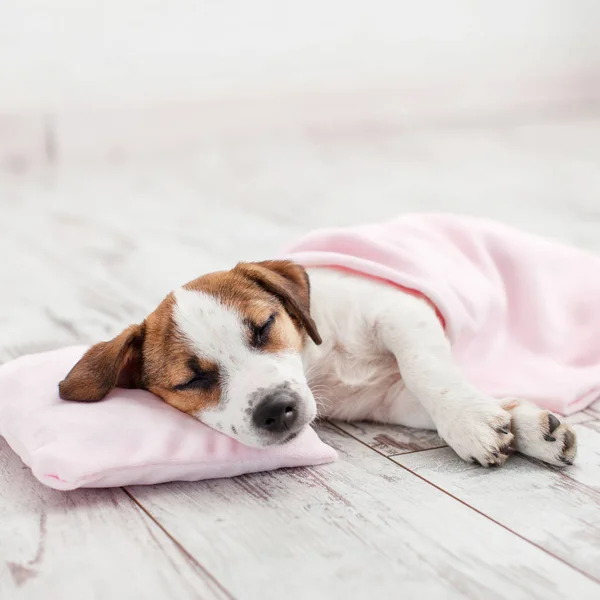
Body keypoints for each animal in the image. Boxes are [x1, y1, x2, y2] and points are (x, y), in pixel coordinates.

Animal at [57, 216, 584, 468]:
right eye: (193, 381)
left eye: (264, 327)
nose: (276, 410)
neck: (321, 363)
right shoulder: (391, 398)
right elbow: (431, 392)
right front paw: (522, 424)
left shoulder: (400, 311)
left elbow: (429, 372)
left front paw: (471, 423)